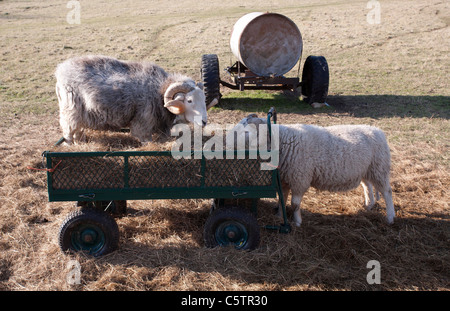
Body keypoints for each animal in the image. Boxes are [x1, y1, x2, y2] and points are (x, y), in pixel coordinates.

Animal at [234, 116, 396, 228]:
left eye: (247, 131)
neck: (284, 143)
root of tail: (377, 131)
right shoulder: (285, 179)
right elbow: (282, 199)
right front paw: (280, 216)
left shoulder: (299, 179)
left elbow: (294, 204)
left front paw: (297, 222)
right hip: (366, 169)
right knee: (367, 186)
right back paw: (369, 205)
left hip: (379, 168)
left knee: (387, 192)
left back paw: (390, 217)